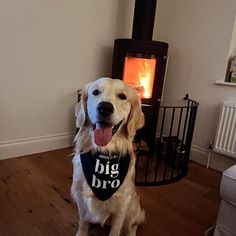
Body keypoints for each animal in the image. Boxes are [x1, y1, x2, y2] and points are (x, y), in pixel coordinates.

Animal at [71, 78, 146, 236]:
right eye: (95, 92)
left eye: (122, 96)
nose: (104, 108)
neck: (104, 154)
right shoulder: (80, 197)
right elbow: (83, 222)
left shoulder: (122, 205)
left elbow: (116, 229)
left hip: (133, 207)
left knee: (133, 225)